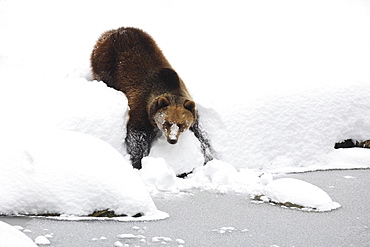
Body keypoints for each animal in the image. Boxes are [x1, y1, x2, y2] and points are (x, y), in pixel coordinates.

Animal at [90, 27, 215, 170]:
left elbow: (201, 132)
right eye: (167, 122)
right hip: (106, 63)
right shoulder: (141, 108)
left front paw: (209, 155)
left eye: (181, 124)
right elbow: (137, 137)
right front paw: (138, 162)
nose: (172, 139)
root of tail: (111, 31)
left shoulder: (190, 107)